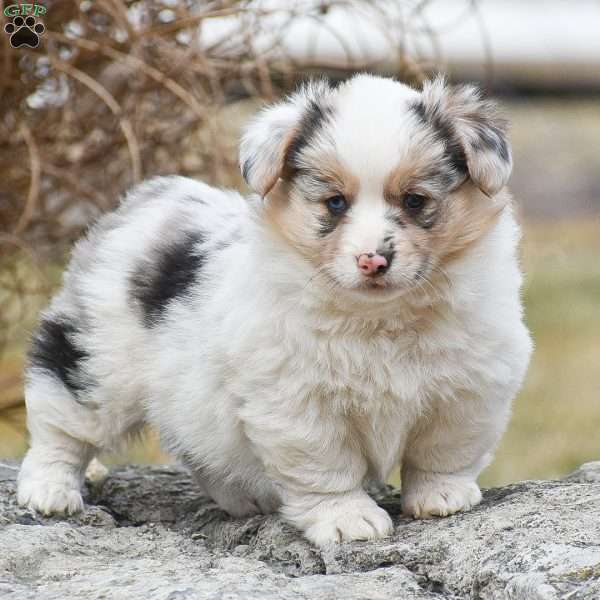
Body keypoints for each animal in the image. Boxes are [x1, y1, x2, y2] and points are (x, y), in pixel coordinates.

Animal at [16, 76, 528, 548]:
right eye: (335, 202)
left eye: (415, 200)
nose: (372, 260)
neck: (380, 318)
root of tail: (150, 196)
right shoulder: (297, 403)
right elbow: (327, 467)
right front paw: (348, 519)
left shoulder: (468, 389)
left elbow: (444, 452)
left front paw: (443, 497)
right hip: (96, 362)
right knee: (60, 424)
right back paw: (50, 491)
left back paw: (244, 497)